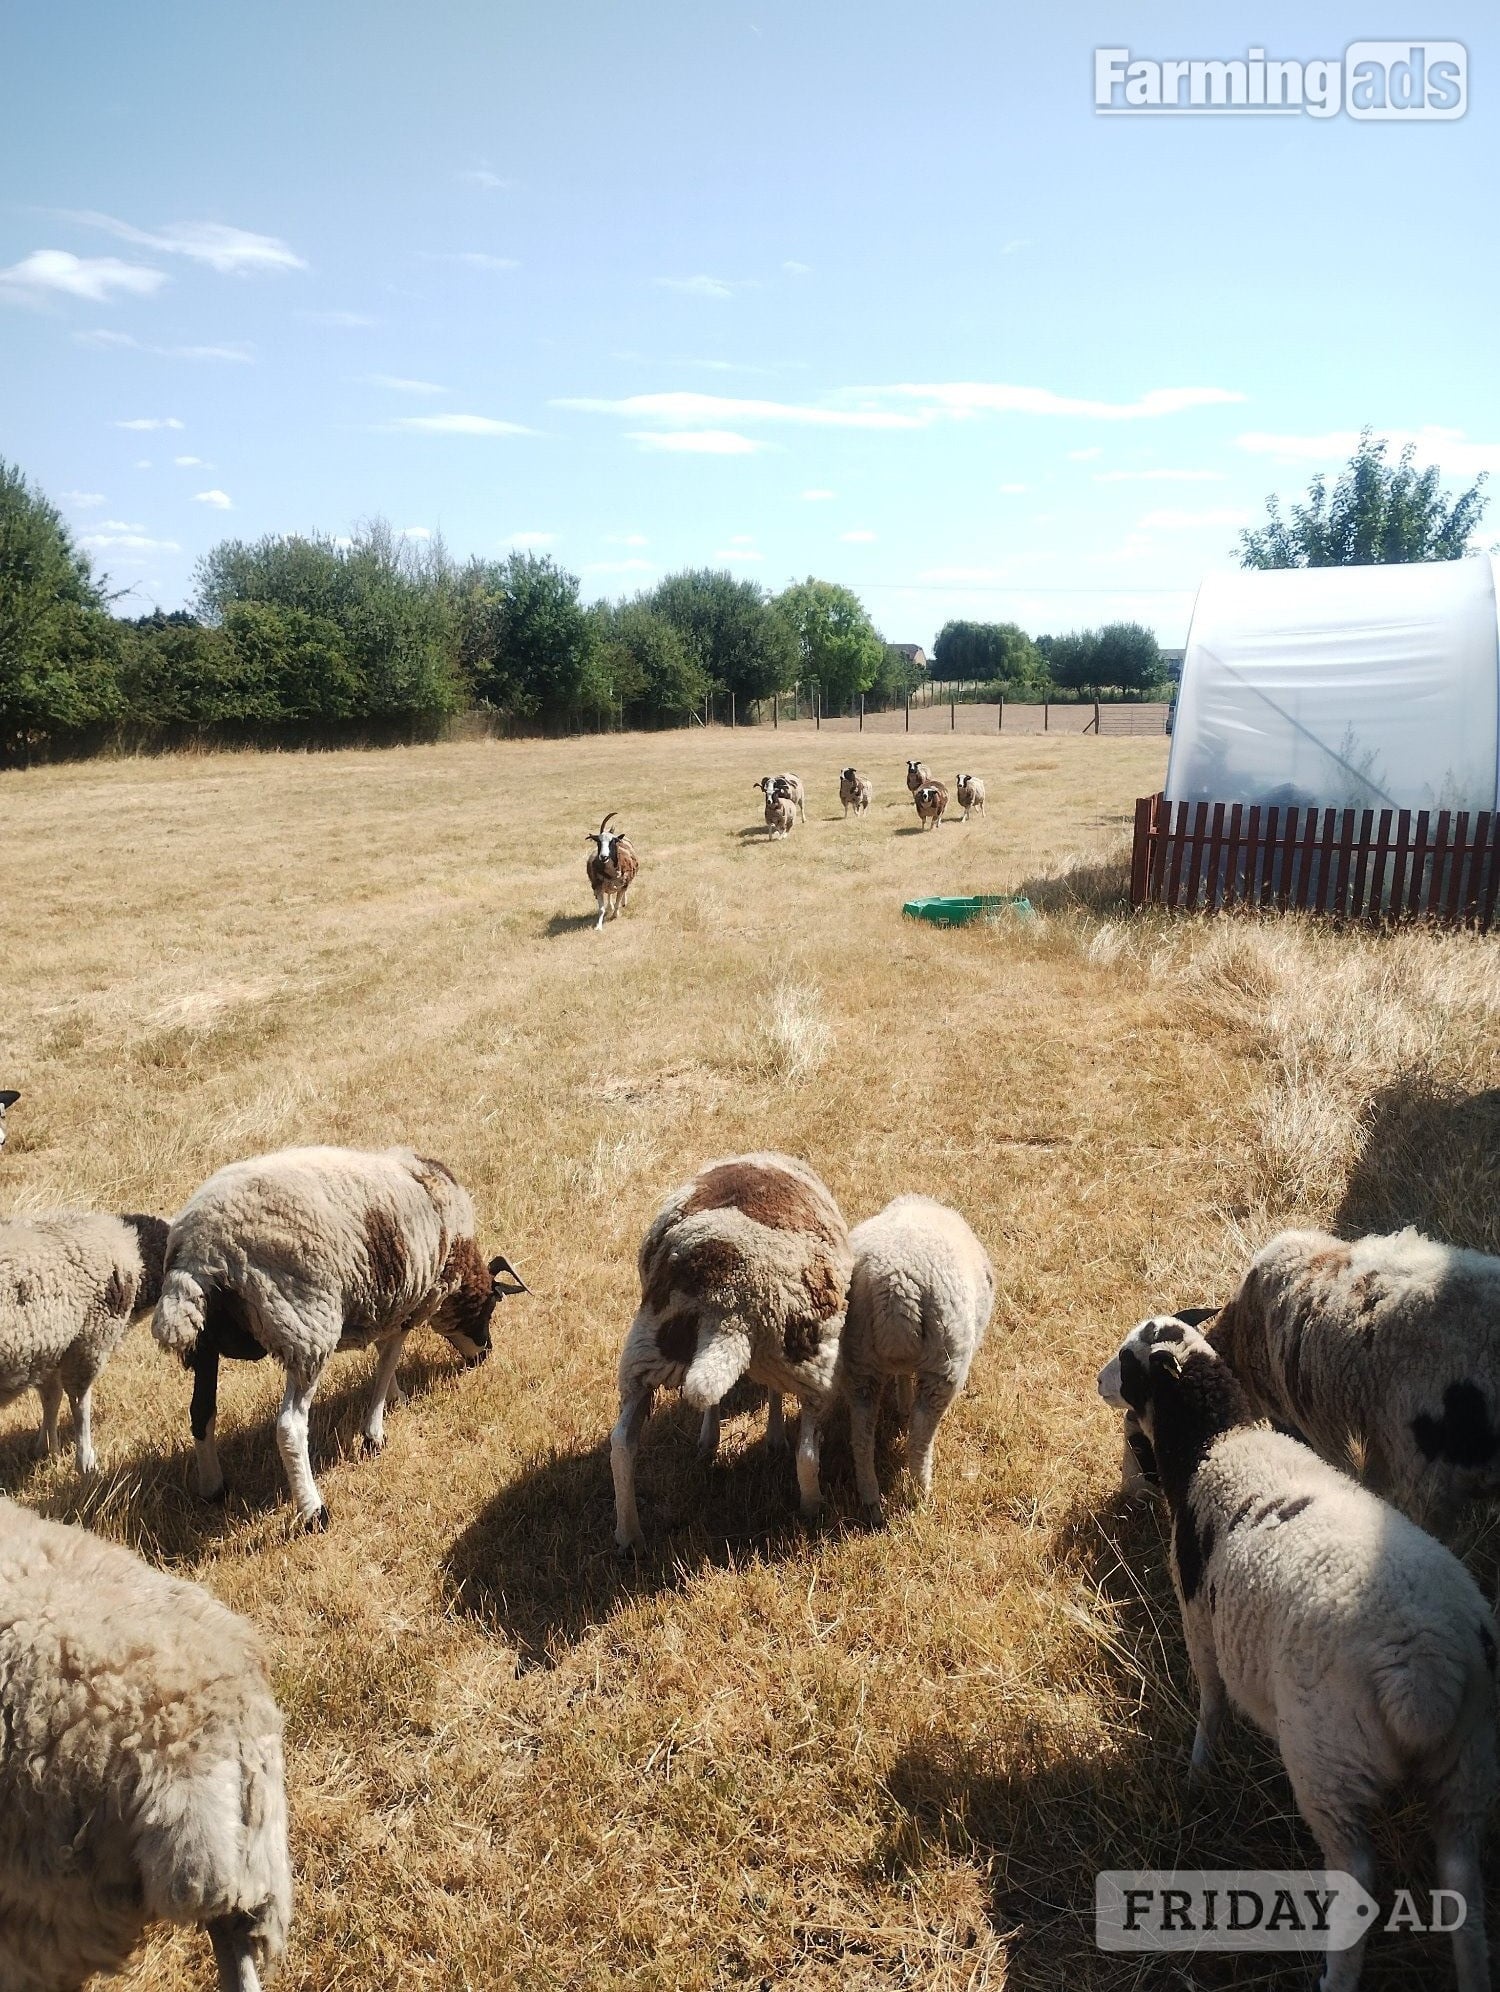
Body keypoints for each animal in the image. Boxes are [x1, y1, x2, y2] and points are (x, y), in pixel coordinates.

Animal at [0, 1209, 168, 1475]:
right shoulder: (88, 1343)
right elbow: (79, 1404)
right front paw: (86, 1463)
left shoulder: (50, 1349)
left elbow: (51, 1398)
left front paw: (47, 1450)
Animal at [153, 1145, 527, 1531]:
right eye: (491, 1305)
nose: (485, 1354)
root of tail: (200, 1252)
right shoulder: (409, 1300)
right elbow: (387, 1359)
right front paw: (374, 1433)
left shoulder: (387, 1303)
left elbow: (383, 1353)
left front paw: (396, 1398)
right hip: (305, 1328)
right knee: (289, 1426)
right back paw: (313, 1511)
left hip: (205, 1342)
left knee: (201, 1412)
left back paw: (213, 1488)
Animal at [610, 1152, 854, 1552]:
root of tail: (727, 1300)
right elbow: (777, 1400)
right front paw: (774, 1437)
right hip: (813, 1366)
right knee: (807, 1452)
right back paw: (813, 1508)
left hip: (645, 1353)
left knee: (622, 1446)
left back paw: (629, 1534)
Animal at [843, 1195, 994, 1515]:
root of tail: (895, 1283)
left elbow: (901, 1376)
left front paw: (902, 1402)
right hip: (945, 1361)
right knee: (922, 1432)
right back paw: (920, 1491)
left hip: (858, 1358)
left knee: (862, 1431)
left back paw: (870, 1496)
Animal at [1099, 1315, 1497, 1992]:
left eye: (1128, 1362)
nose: (1098, 1380)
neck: (1215, 1443)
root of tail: (1423, 1672)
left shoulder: (1197, 1614)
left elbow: (1210, 1700)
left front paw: (1198, 1771)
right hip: (1466, 1767)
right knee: (1464, 1887)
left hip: (1328, 1762)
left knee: (1358, 1882)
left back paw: (1334, 1976)